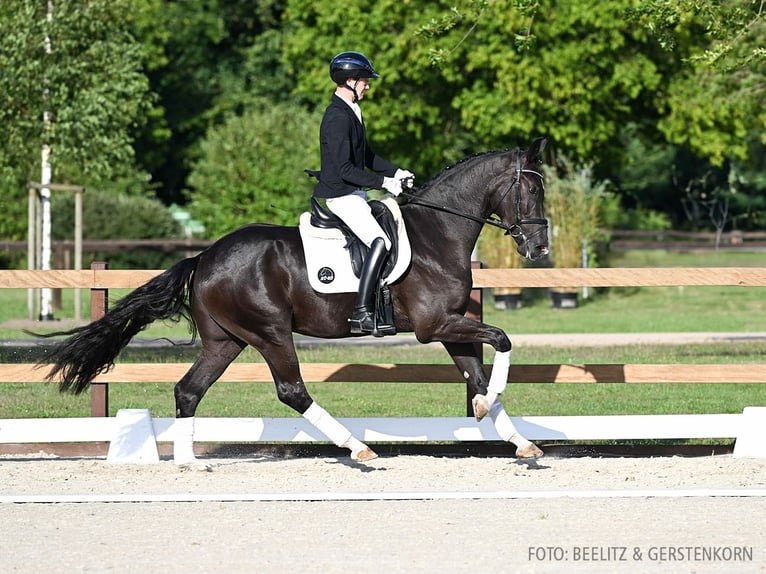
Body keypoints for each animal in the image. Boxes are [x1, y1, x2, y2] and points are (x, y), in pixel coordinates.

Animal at [39, 138, 552, 468]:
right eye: (532, 189)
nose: (539, 248)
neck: (437, 234)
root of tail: (205, 257)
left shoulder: (450, 326)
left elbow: (478, 373)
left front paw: (511, 433)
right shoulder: (435, 326)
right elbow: (502, 340)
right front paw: (492, 410)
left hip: (226, 340)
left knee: (188, 390)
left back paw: (190, 464)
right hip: (269, 333)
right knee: (292, 391)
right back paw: (358, 449)